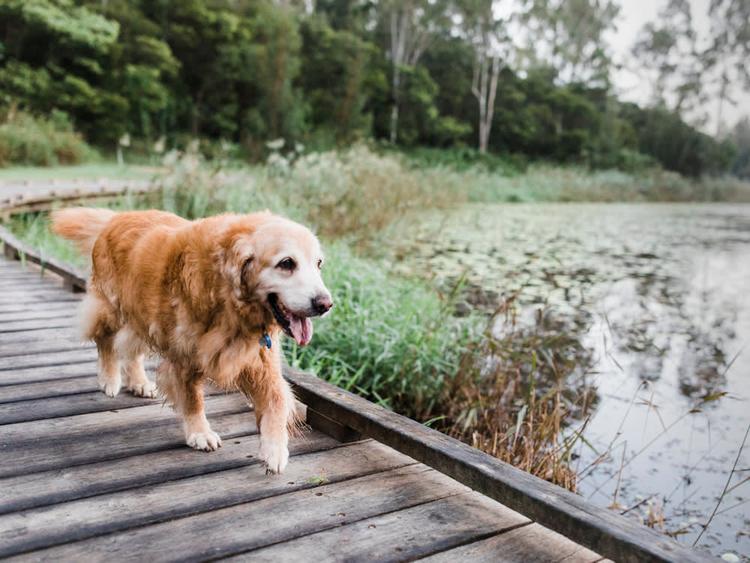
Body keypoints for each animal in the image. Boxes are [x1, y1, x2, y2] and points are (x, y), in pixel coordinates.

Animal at [51, 209, 334, 474]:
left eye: (318, 263)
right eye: (286, 263)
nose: (326, 304)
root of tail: (117, 217)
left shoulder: (261, 360)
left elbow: (276, 400)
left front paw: (275, 449)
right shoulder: (184, 356)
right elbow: (192, 399)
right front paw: (200, 433)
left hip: (142, 316)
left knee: (131, 349)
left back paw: (139, 382)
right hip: (112, 308)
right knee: (106, 342)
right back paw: (110, 379)